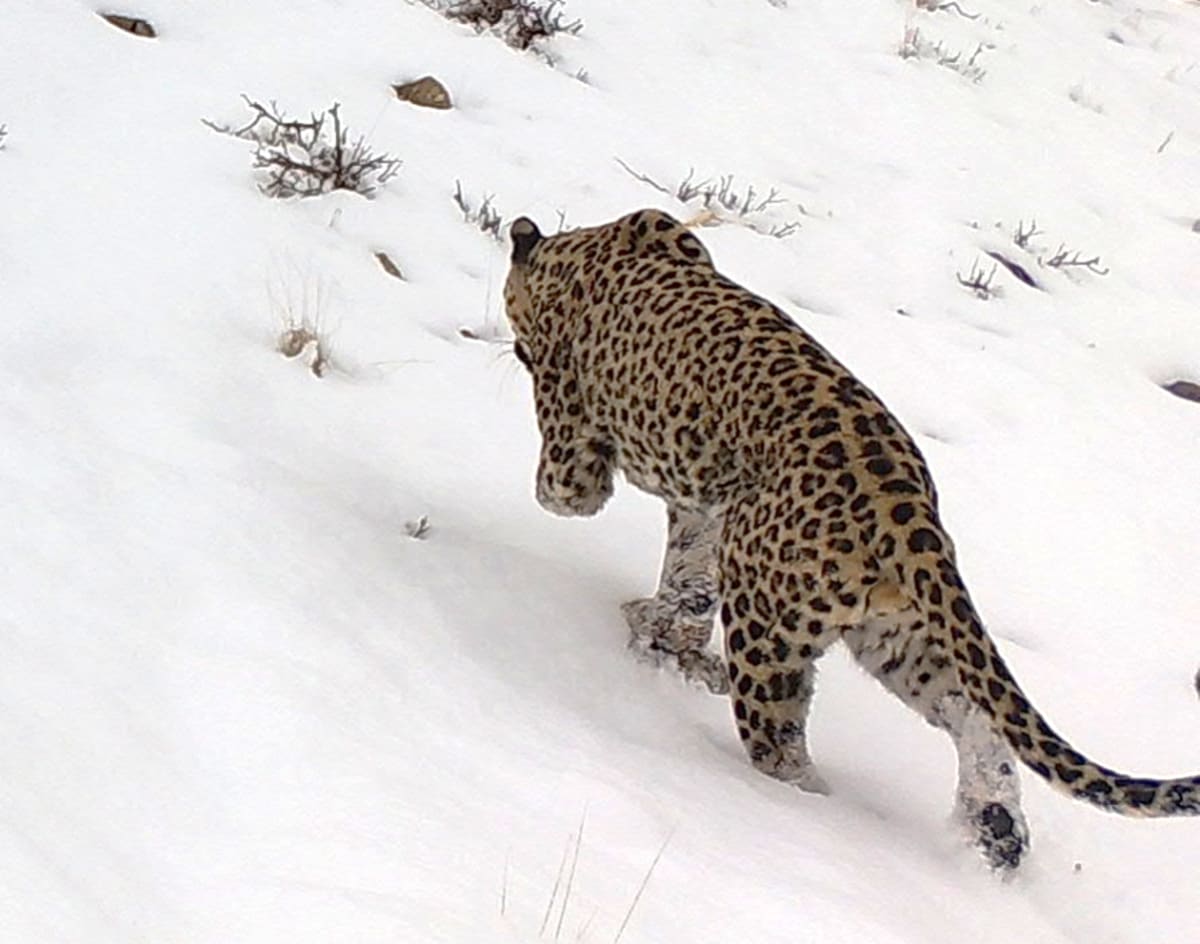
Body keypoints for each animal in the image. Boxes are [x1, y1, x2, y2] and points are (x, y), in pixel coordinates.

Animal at [502, 207, 1200, 871]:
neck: (585, 252)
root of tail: (906, 507)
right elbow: (689, 572)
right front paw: (663, 627)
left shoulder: (571, 444)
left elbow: (567, 497)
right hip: (896, 636)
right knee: (971, 712)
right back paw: (994, 835)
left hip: (768, 639)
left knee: (782, 748)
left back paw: (797, 808)